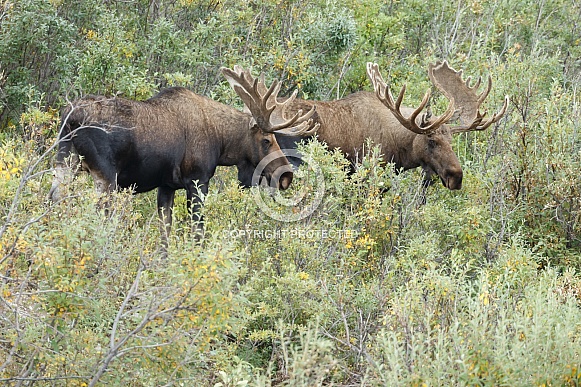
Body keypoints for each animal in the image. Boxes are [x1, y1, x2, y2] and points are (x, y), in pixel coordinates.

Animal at [49, 66, 320, 241]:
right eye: (266, 140)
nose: (286, 176)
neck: (221, 141)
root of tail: (71, 117)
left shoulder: (166, 185)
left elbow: (165, 234)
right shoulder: (197, 180)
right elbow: (197, 232)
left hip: (65, 165)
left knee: (52, 200)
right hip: (105, 177)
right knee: (98, 215)